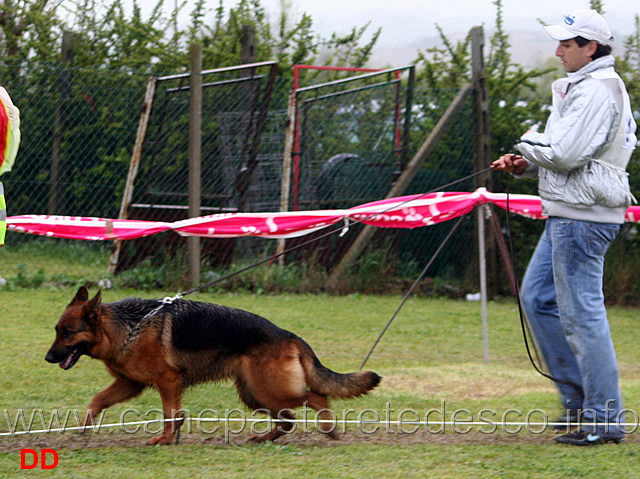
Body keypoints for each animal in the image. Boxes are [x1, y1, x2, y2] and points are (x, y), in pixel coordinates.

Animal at [47, 284, 382, 446]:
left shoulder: (167, 382)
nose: (48, 358)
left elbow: (170, 414)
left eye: (68, 333)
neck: (128, 327)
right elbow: (97, 400)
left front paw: (165, 439)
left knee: (315, 397)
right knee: (288, 420)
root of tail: (289, 335)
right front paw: (83, 426)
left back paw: (328, 427)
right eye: (56, 330)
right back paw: (265, 439)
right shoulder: (130, 383)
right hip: (254, 394)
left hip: (269, 389)